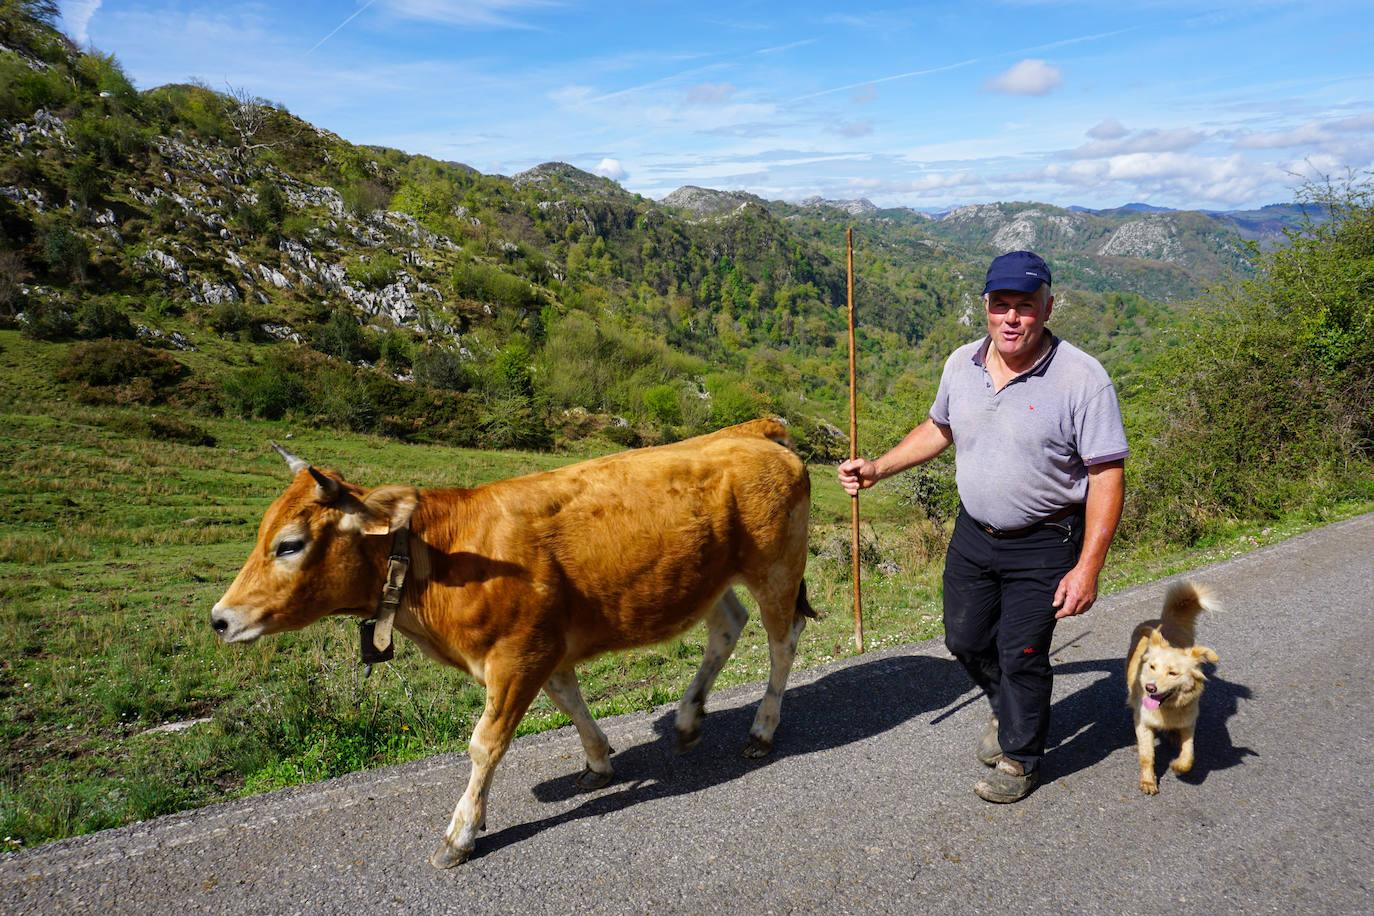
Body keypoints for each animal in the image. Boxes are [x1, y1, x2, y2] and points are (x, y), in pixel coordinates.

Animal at [211, 420, 813, 873]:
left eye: (289, 544)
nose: (219, 619)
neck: (441, 557)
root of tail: (750, 430)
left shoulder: (518, 654)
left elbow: (485, 744)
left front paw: (461, 833)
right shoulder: (544, 647)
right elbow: (570, 702)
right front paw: (598, 762)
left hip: (776, 567)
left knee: (782, 643)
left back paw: (762, 729)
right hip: (708, 576)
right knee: (727, 626)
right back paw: (688, 719)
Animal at [1126, 585, 1225, 791]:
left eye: (1172, 673)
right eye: (1152, 667)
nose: (1150, 688)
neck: (1167, 708)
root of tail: (1166, 620)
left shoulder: (1188, 722)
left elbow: (1189, 755)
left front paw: (1178, 766)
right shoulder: (1143, 723)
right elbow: (1147, 755)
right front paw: (1148, 781)